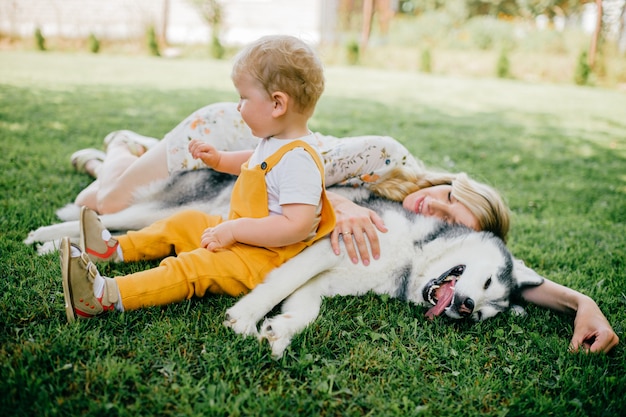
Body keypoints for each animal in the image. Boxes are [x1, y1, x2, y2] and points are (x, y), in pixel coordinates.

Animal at [223, 196, 540, 358]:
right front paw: (245, 318)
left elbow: (307, 310)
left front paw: (280, 332)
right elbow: (281, 283)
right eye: (488, 282)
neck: (409, 259)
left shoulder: (323, 282)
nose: (467, 307)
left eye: (479, 317)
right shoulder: (334, 246)